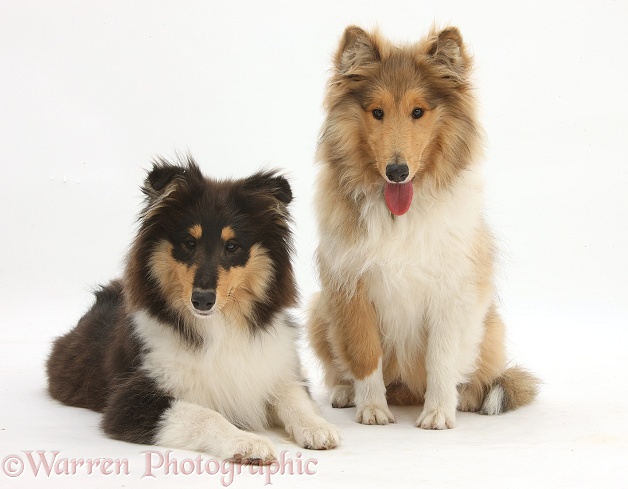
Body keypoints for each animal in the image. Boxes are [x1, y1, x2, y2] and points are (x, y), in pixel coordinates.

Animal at [47, 157, 338, 462]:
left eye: (232, 246)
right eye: (189, 242)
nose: (202, 300)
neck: (219, 325)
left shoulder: (275, 372)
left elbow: (294, 398)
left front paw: (318, 428)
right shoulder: (131, 402)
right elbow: (207, 415)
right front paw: (247, 442)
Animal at [306, 24, 536, 428]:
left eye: (418, 111)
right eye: (377, 112)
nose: (397, 172)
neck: (400, 215)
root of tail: (405, 391)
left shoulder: (452, 290)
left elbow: (441, 358)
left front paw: (439, 413)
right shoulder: (350, 286)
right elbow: (364, 354)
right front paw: (372, 409)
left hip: (491, 326)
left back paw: (470, 398)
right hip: (320, 309)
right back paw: (345, 392)